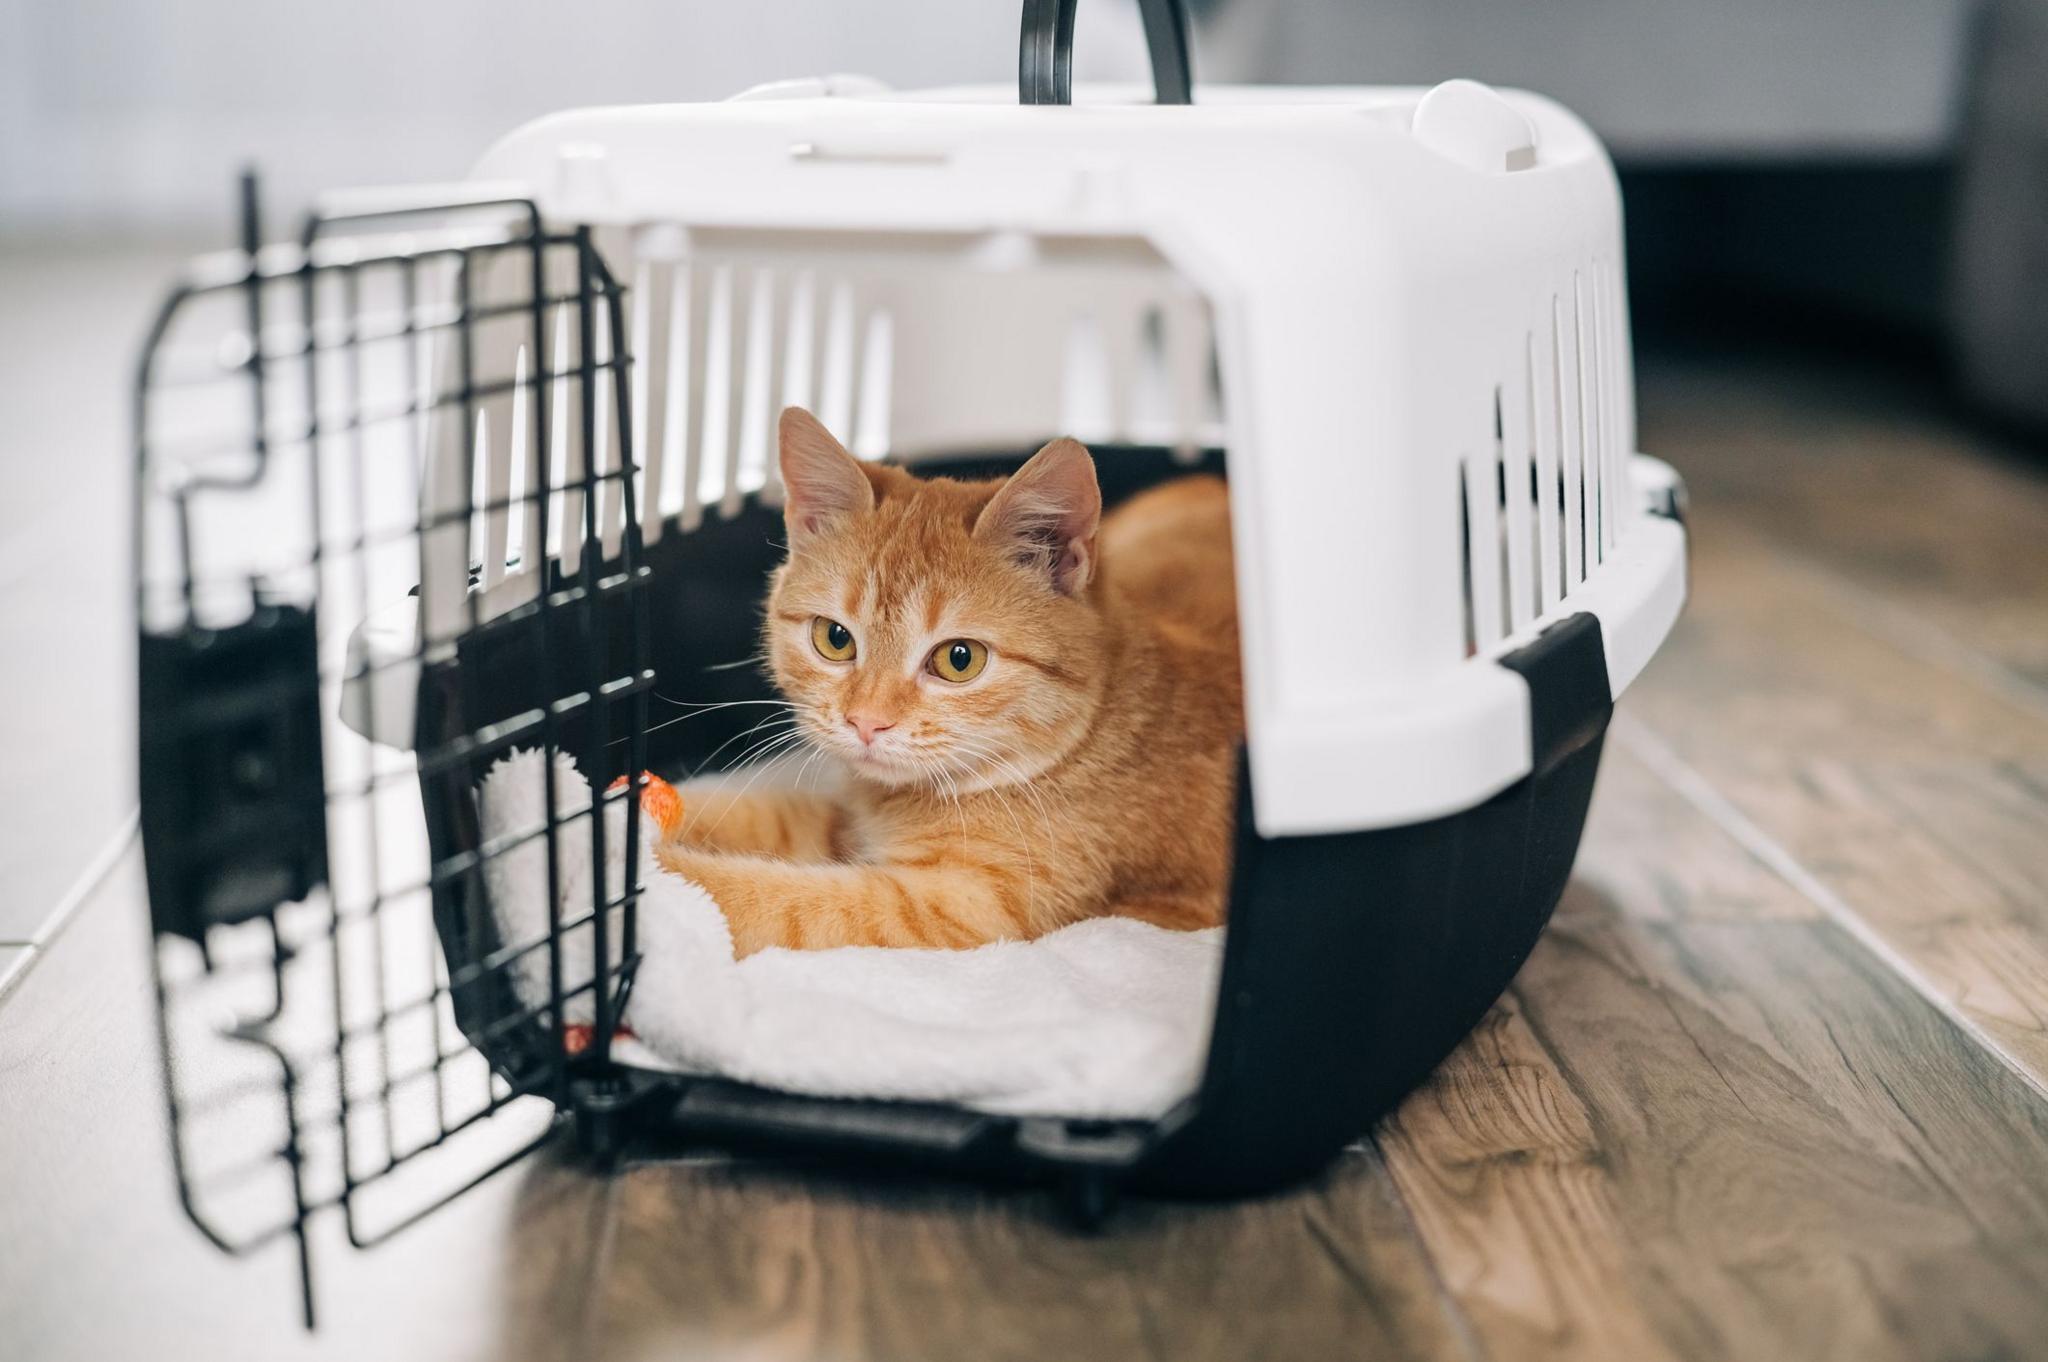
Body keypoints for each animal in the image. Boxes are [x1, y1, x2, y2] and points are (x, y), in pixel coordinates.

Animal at [647, 409, 1236, 950]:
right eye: (834, 639)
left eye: (959, 659)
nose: (865, 724)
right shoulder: (842, 821)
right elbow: (753, 816)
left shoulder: (955, 909)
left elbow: (768, 900)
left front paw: (644, 875)